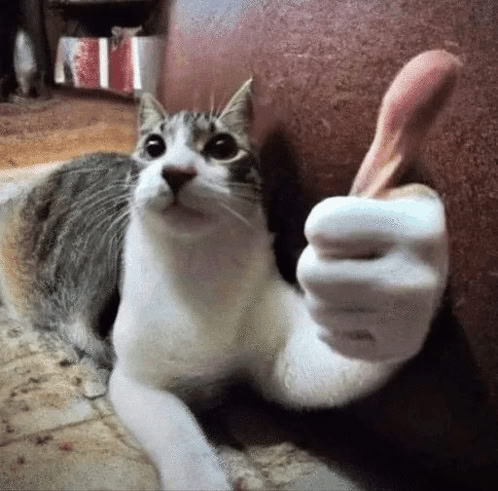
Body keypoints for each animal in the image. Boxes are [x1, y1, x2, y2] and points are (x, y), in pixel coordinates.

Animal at [0, 79, 448, 490]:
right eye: (154, 147)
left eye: (221, 147)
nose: (176, 171)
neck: (200, 265)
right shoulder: (135, 378)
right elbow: (178, 432)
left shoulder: (280, 350)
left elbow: (321, 365)